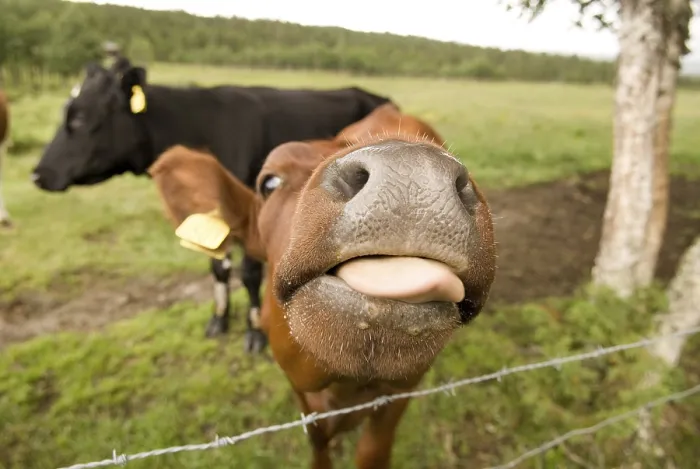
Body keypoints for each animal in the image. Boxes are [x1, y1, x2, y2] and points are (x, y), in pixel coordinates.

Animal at [30, 60, 395, 353]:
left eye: (79, 118)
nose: (38, 173)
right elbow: (217, 266)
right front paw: (219, 318)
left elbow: (248, 274)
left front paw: (254, 332)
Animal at [148, 118, 496, 468]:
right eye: (269, 183)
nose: (408, 169)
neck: (344, 384)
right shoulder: (299, 388)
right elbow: (317, 437)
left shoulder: (404, 388)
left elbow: (373, 449)